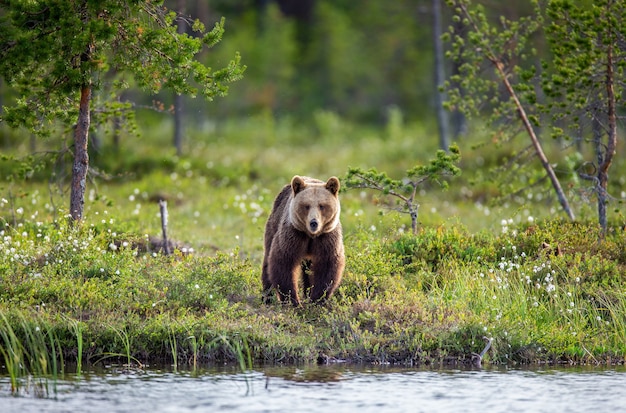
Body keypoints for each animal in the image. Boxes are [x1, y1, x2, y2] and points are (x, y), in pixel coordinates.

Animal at [260, 175, 344, 306]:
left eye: (322, 205)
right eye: (306, 205)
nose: (314, 222)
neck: (311, 236)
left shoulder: (327, 238)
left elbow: (327, 267)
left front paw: (317, 299)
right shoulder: (293, 236)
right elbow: (283, 262)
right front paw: (293, 300)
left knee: (308, 271)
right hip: (273, 225)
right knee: (267, 262)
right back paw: (267, 297)